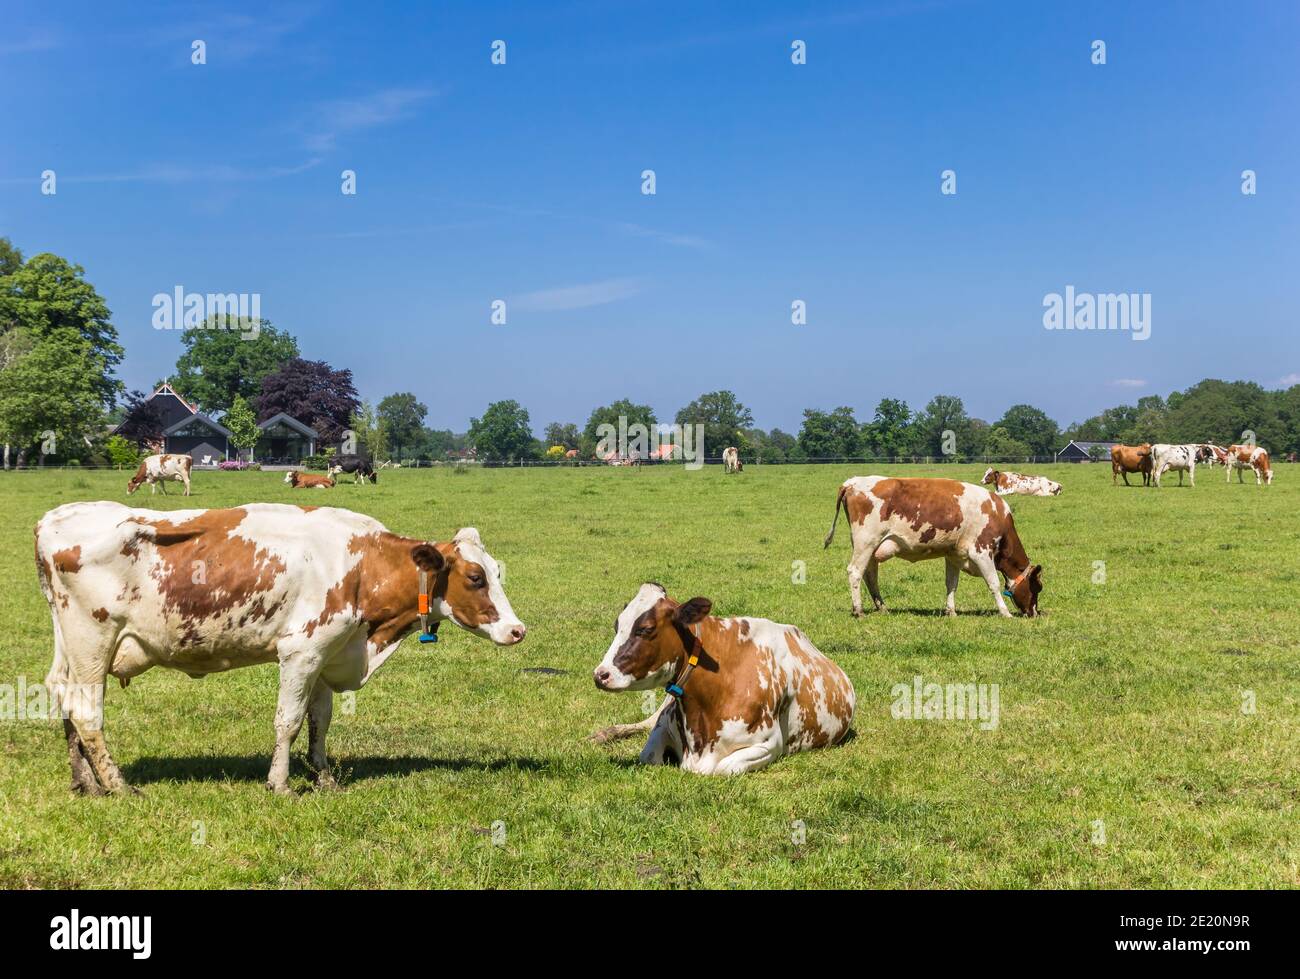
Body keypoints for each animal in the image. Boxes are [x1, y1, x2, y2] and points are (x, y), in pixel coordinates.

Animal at [35, 502, 525, 796]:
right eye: (475, 578)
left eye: (498, 572)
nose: (517, 630)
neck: (361, 564)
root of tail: (53, 519)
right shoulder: (301, 651)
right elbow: (288, 721)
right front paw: (281, 784)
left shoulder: (330, 650)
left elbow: (320, 720)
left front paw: (323, 777)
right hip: (92, 638)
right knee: (86, 711)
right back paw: (117, 786)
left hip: (69, 644)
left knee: (62, 694)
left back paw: (85, 781)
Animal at [591, 584, 854, 775]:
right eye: (617, 625)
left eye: (645, 628)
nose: (600, 674)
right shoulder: (663, 725)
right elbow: (648, 755)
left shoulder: (769, 745)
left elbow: (723, 768)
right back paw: (602, 734)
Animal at [823, 476, 1042, 618]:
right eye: (1037, 587)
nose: (1034, 613)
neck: (998, 514)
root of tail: (851, 483)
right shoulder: (981, 550)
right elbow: (994, 583)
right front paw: (1005, 612)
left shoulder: (954, 554)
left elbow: (951, 583)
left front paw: (951, 611)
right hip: (866, 541)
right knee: (855, 572)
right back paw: (858, 610)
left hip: (870, 547)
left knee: (870, 575)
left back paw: (882, 607)